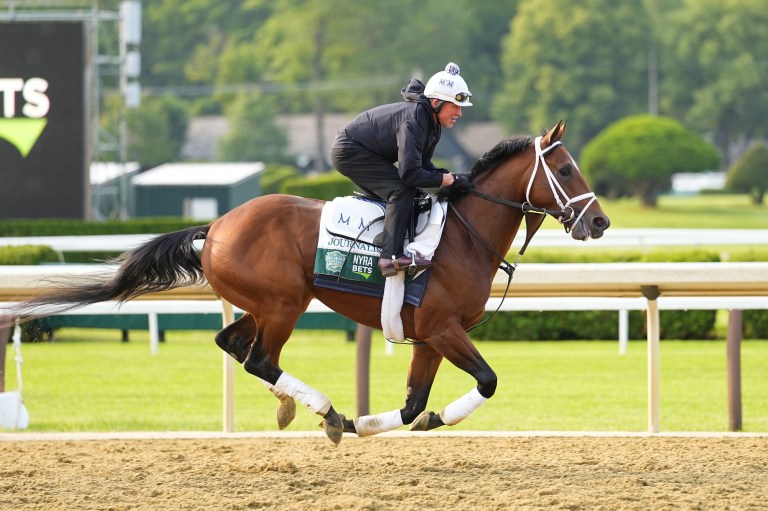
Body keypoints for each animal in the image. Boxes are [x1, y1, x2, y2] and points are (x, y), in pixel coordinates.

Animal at [3, 121, 609, 444]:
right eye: (566, 169)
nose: (600, 222)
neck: (463, 235)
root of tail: (216, 225)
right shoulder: (443, 328)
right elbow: (487, 381)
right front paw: (379, 420)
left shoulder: (430, 336)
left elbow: (413, 404)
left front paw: (391, 421)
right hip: (285, 303)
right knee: (258, 358)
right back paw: (324, 409)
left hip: (264, 304)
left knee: (231, 343)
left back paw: (297, 407)